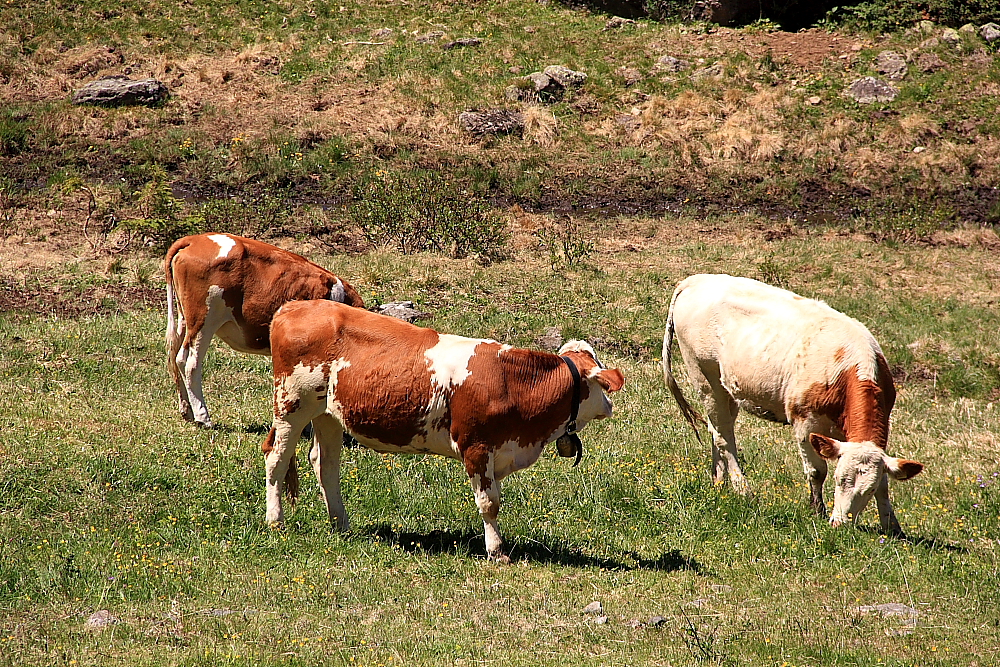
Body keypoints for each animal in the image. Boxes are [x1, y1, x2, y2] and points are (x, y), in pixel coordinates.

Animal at [164, 233, 365, 428]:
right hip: (204, 319)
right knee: (189, 362)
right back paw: (203, 417)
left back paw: (187, 411)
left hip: (185, 319)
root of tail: (195, 239)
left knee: (175, 357)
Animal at [262, 299, 625, 562]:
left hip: (328, 414)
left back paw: (341, 524)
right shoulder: (476, 447)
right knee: (276, 458)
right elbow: (489, 502)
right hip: (292, 403)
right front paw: (497, 552)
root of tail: (294, 306)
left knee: (325, 464)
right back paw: (275, 521)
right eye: (601, 383)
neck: (513, 383)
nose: (610, 405)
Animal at [662, 274, 923, 536]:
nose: (840, 523)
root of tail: (697, 279)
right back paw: (743, 490)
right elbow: (817, 471)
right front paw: (817, 511)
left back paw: (719, 483)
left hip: (728, 389)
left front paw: (892, 526)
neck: (849, 368)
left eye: (868, 490)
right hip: (704, 376)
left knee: (717, 430)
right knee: (724, 437)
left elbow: (885, 483)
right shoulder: (805, 422)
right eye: (839, 479)